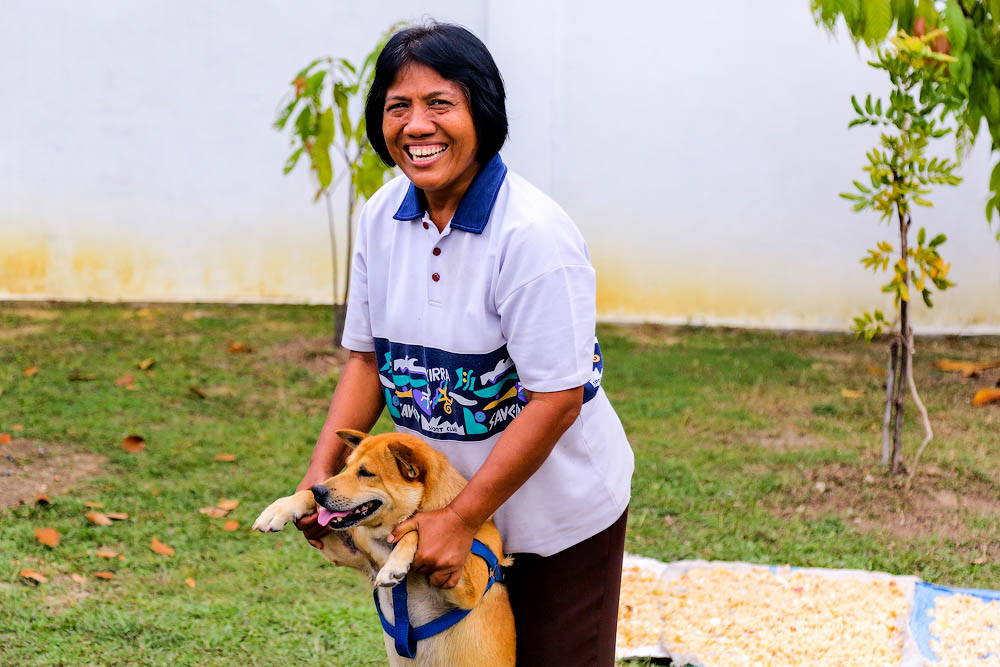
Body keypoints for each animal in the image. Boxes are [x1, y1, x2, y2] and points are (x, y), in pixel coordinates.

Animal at [252, 430, 516, 664]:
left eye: (366, 473)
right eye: (347, 466)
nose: (319, 490)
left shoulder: (466, 589)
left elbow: (415, 530)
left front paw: (395, 565)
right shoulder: (347, 551)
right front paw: (279, 509)